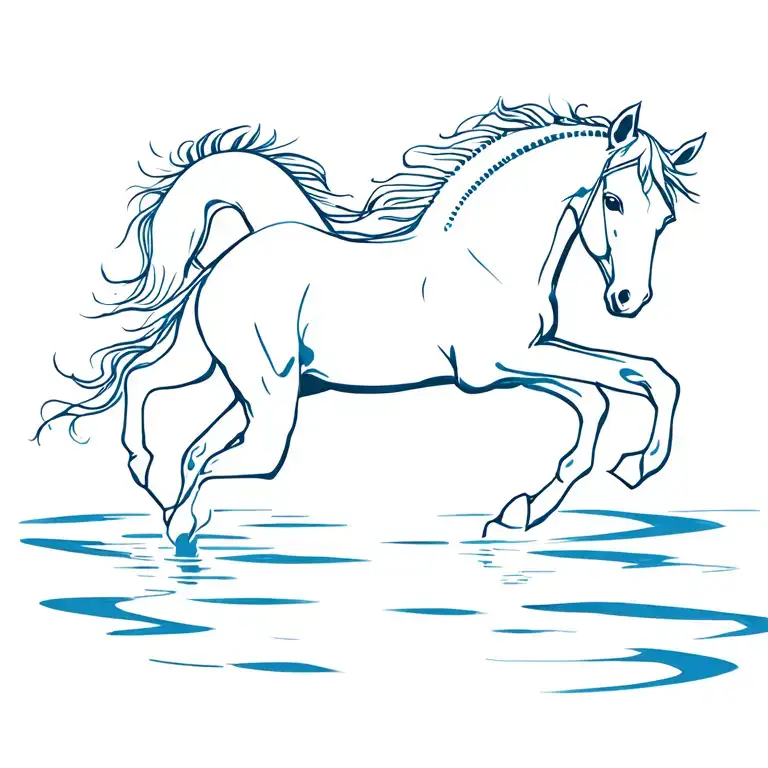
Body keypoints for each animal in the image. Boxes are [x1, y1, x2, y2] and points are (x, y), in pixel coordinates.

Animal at [38, 99, 705, 548]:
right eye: (613, 200)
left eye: (667, 216)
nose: (629, 299)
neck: (489, 254)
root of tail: (250, 242)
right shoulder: (494, 366)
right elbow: (619, 386)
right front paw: (632, 468)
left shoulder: (523, 358)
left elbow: (628, 383)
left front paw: (523, 511)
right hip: (268, 392)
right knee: (215, 447)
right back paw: (173, 512)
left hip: (224, 368)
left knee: (158, 399)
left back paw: (158, 489)